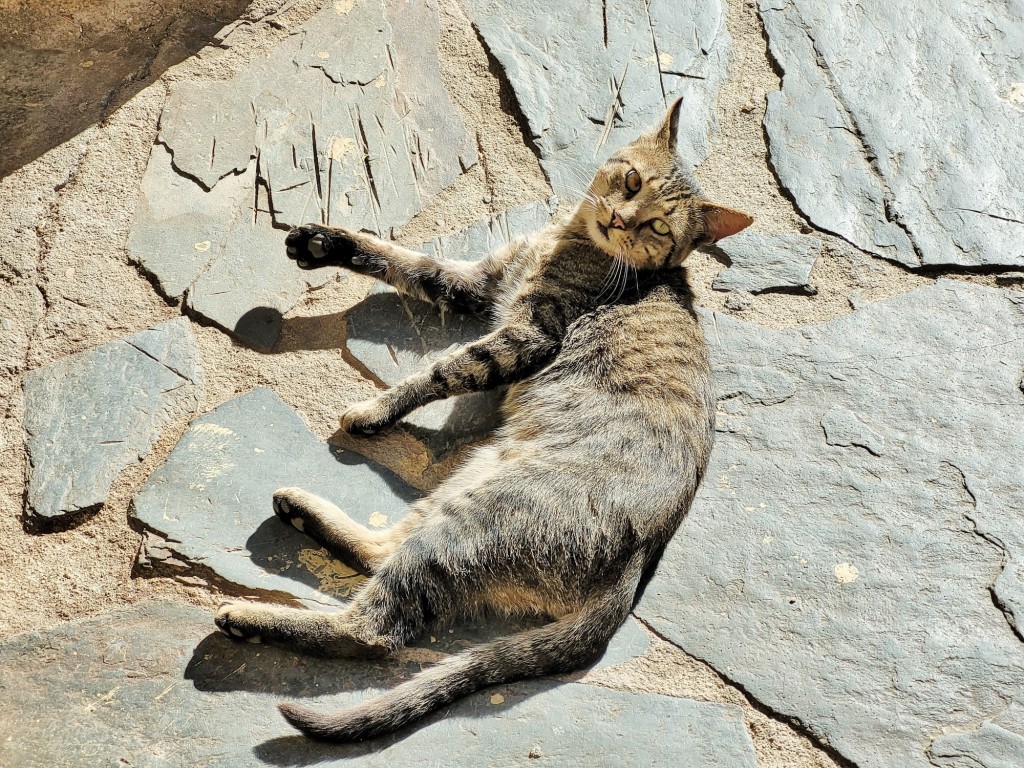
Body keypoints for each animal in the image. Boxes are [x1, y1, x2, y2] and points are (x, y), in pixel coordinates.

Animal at [214, 99, 753, 741]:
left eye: (658, 229)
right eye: (630, 181)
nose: (621, 218)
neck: (567, 240)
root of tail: (637, 567)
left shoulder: (527, 335)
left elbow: (442, 370)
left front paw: (374, 408)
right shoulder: (483, 281)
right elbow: (407, 261)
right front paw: (324, 242)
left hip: (472, 521)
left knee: (374, 629)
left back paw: (249, 616)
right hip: (466, 483)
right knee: (382, 550)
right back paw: (300, 511)